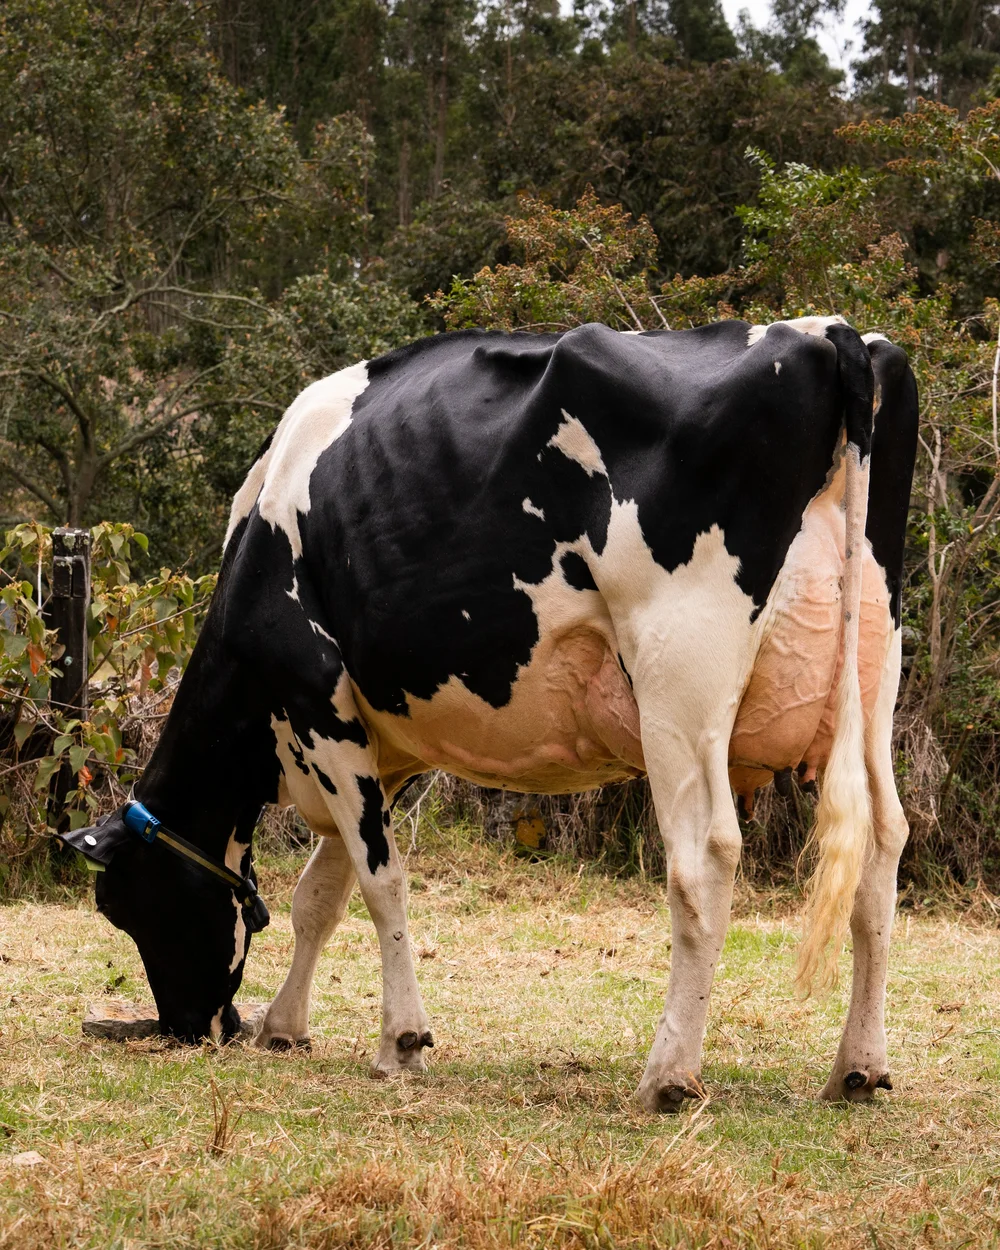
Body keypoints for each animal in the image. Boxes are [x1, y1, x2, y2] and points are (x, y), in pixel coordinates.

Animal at [63, 315, 918, 1113]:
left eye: (124, 907)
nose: (190, 1028)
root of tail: (825, 332)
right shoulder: (380, 743)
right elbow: (321, 893)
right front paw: (286, 1026)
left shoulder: (319, 706)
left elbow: (378, 880)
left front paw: (400, 1041)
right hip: (875, 663)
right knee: (882, 845)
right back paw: (859, 1067)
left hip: (680, 670)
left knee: (704, 855)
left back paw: (668, 1075)